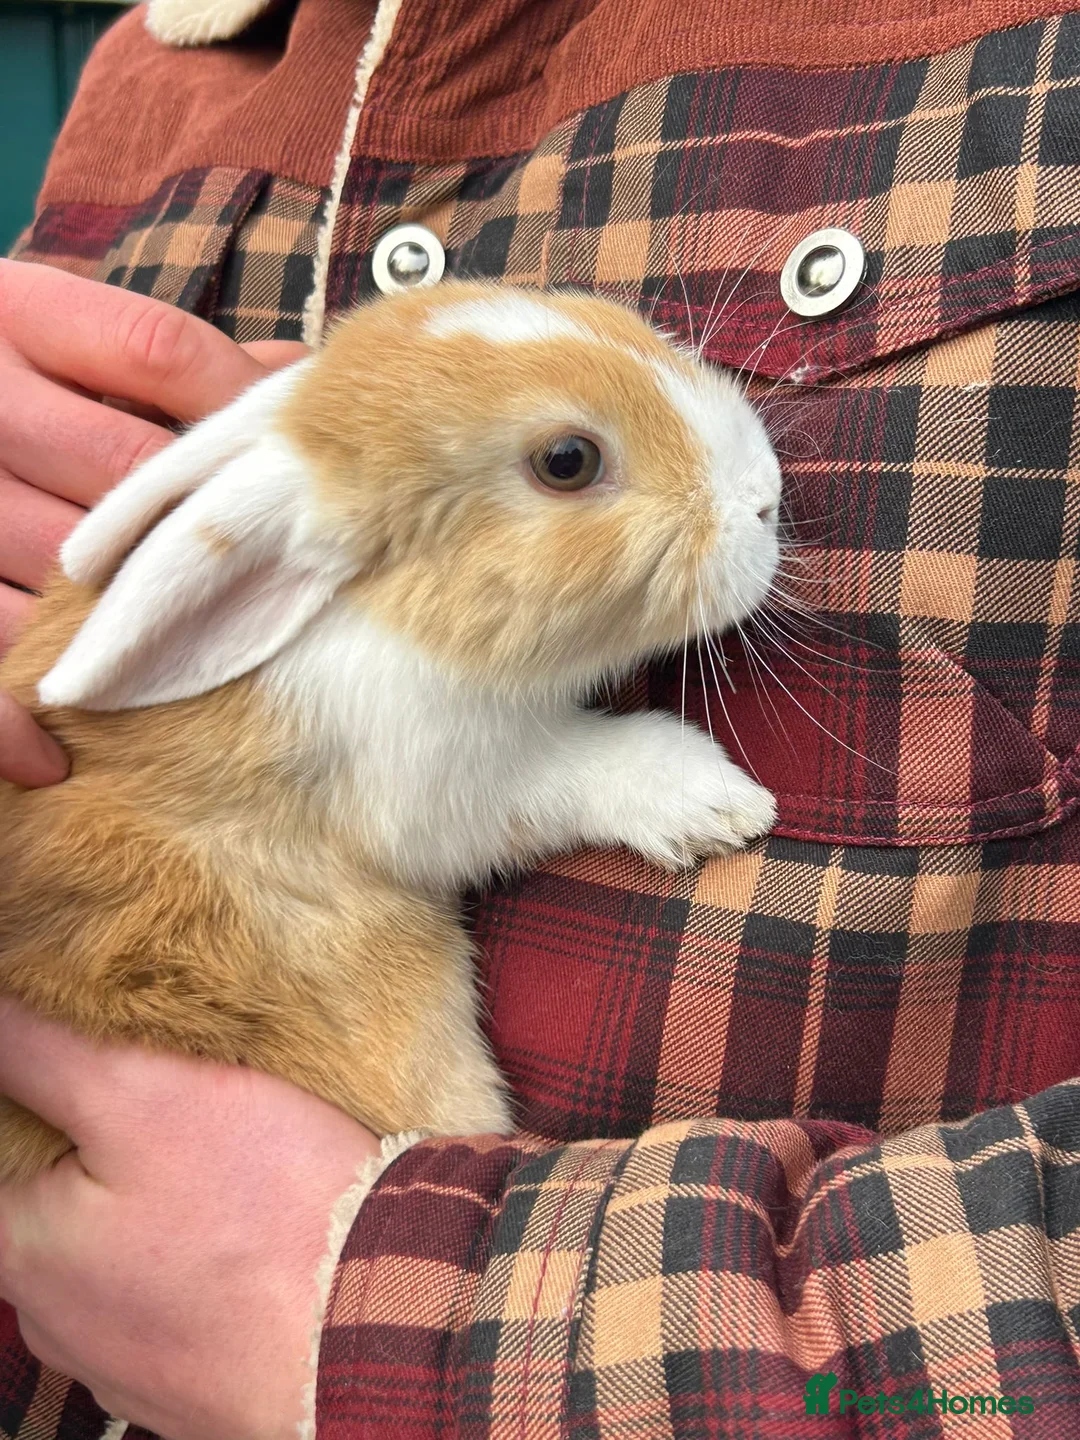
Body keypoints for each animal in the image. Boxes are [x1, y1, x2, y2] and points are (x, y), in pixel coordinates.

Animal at [0, 281, 782, 1183]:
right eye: (568, 461)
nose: (767, 497)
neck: (385, 613)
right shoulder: (444, 778)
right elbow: (584, 769)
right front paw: (721, 804)